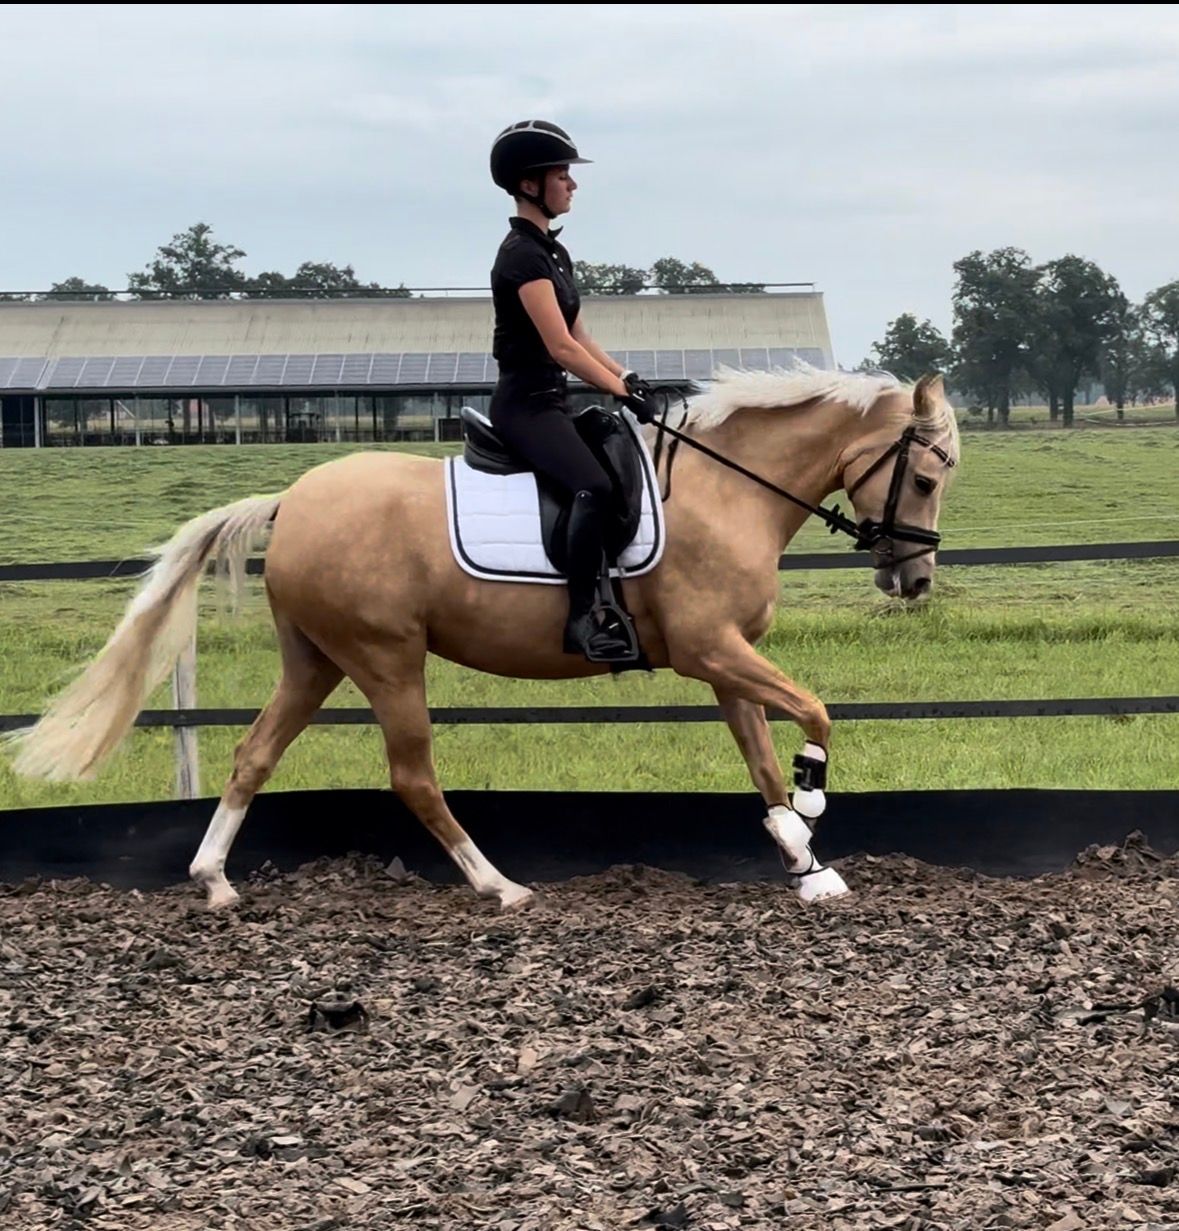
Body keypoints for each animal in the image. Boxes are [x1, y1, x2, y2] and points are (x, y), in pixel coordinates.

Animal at [7, 365, 960, 911]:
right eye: (921, 476)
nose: (912, 581)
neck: (728, 489)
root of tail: (293, 499)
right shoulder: (710, 649)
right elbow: (815, 713)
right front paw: (811, 806)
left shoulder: (727, 660)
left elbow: (761, 754)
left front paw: (805, 864)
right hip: (386, 658)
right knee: (413, 777)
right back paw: (499, 885)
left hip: (316, 660)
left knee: (253, 755)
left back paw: (214, 880)